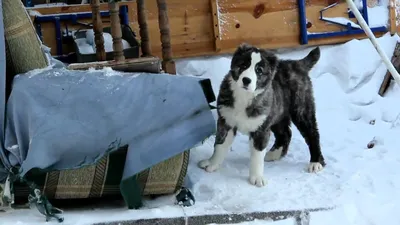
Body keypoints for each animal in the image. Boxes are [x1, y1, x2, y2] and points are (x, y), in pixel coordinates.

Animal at [197, 43, 324, 187]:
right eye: (243, 65)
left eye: (259, 71)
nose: (246, 80)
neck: (244, 96)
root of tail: (297, 64)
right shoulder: (226, 121)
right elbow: (220, 144)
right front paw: (212, 164)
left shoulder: (261, 129)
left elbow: (257, 156)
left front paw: (257, 178)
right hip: (276, 112)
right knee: (285, 133)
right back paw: (274, 154)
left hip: (301, 109)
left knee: (312, 133)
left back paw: (315, 162)